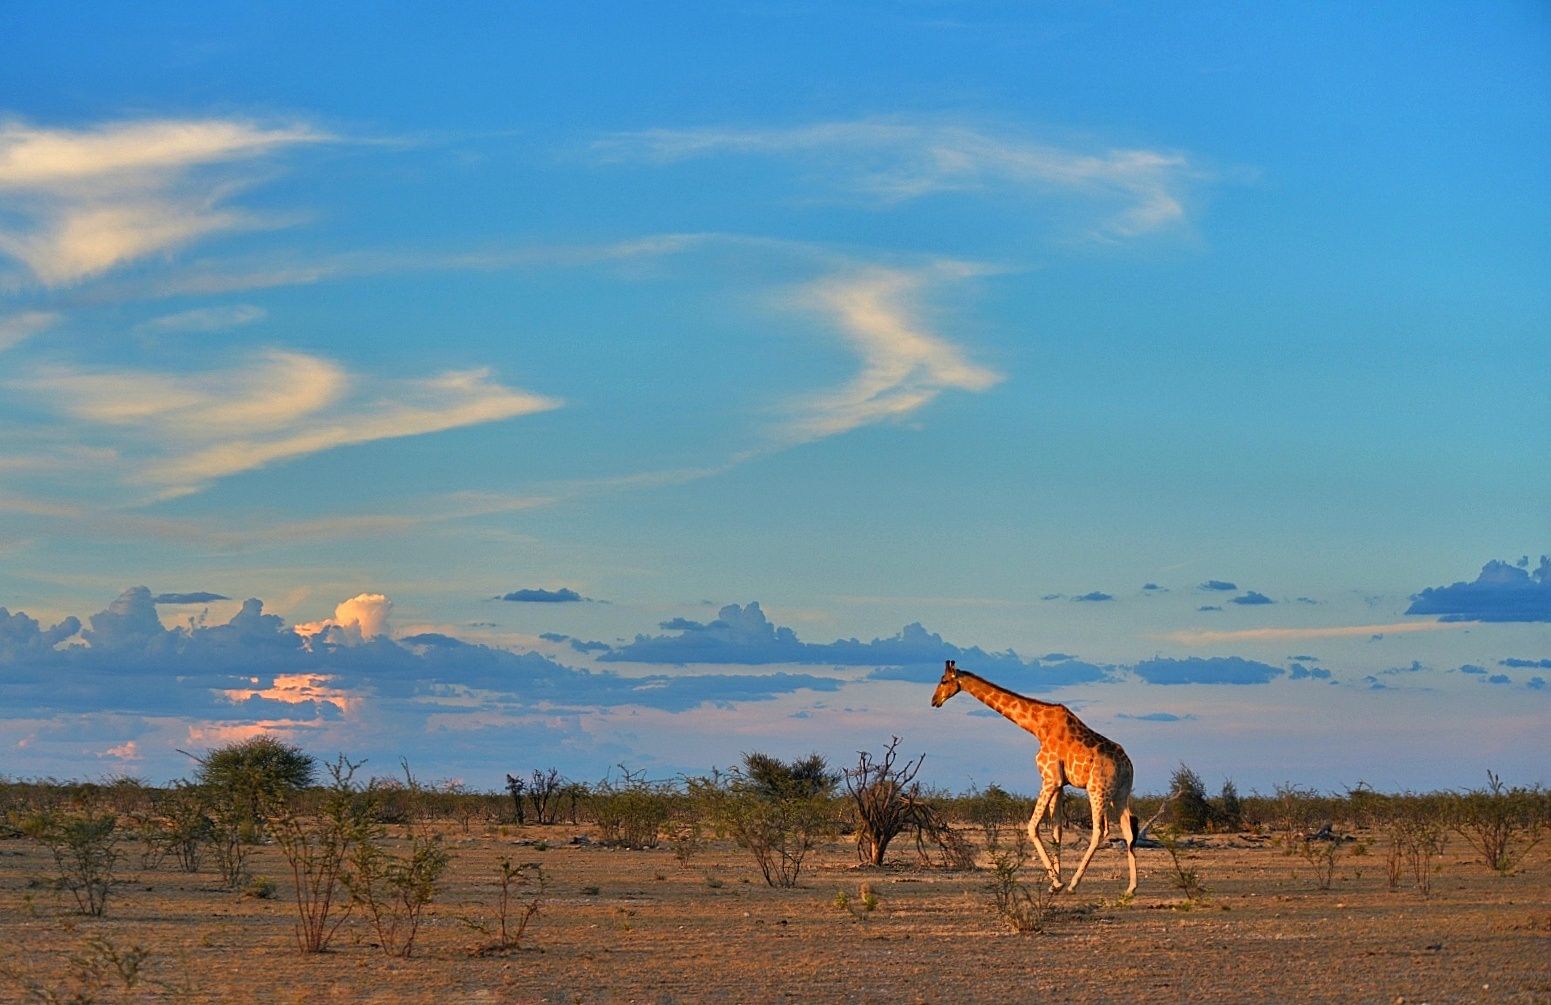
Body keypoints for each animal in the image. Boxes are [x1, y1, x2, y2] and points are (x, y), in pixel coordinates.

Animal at [930, 660, 1141, 893]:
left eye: (944, 681)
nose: (934, 701)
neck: (1038, 726)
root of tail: (1127, 766)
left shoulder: (1049, 778)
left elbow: (1032, 827)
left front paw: (1057, 882)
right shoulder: (1060, 784)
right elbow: (1057, 831)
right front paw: (1054, 883)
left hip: (1097, 790)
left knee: (1099, 831)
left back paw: (1074, 883)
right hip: (1120, 794)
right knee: (1128, 831)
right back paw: (1131, 887)